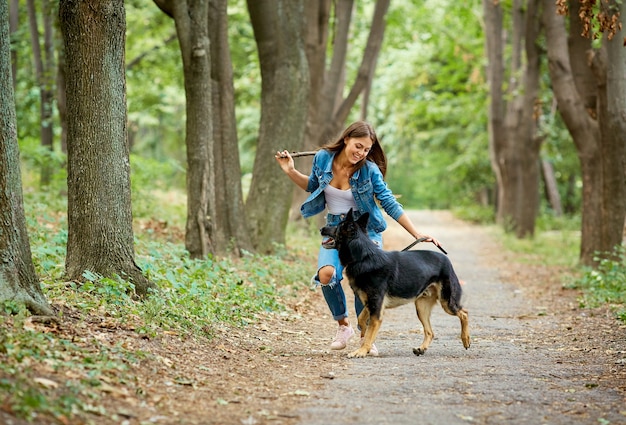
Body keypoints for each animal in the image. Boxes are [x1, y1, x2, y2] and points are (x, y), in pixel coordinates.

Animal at [322, 210, 468, 358]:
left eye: (337, 227)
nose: (322, 229)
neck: (363, 257)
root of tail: (447, 259)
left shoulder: (376, 309)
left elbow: (368, 334)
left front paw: (361, 351)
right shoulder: (372, 305)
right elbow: (362, 320)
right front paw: (365, 346)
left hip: (447, 303)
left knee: (464, 313)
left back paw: (466, 339)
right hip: (421, 307)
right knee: (430, 332)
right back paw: (421, 348)